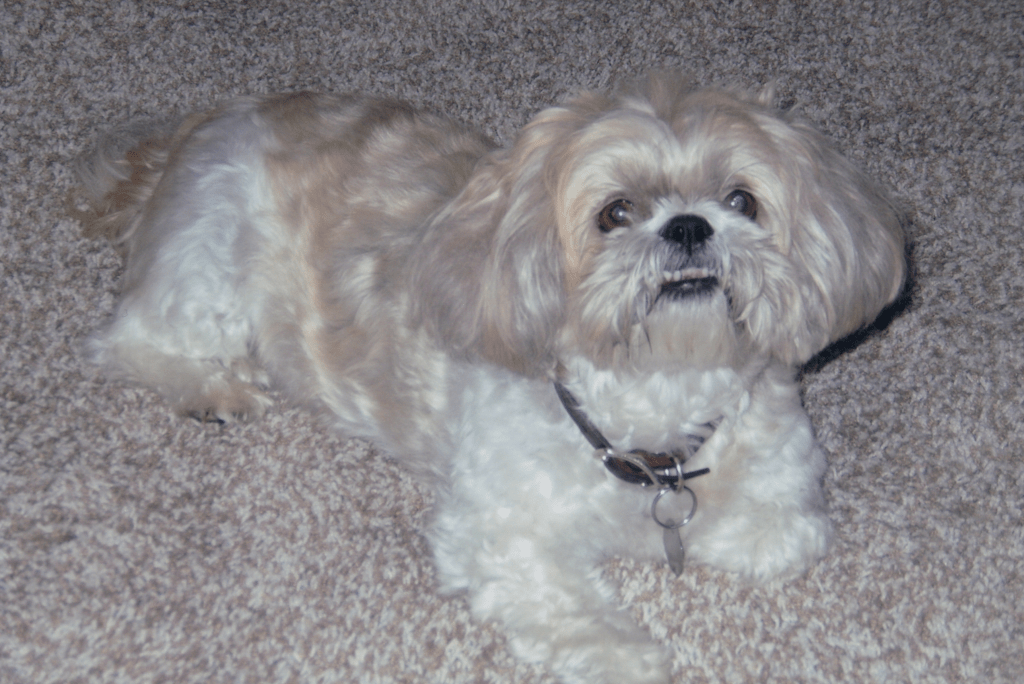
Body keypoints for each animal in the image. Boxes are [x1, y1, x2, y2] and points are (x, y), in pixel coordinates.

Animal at [74, 73, 906, 683]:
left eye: (742, 200)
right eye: (614, 213)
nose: (690, 225)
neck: (654, 397)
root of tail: (207, 124)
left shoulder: (783, 488)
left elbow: (774, 535)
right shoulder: (500, 532)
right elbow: (575, 612)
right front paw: (626, 652)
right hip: (207, 262)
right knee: (131, 340)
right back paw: (212, 390)